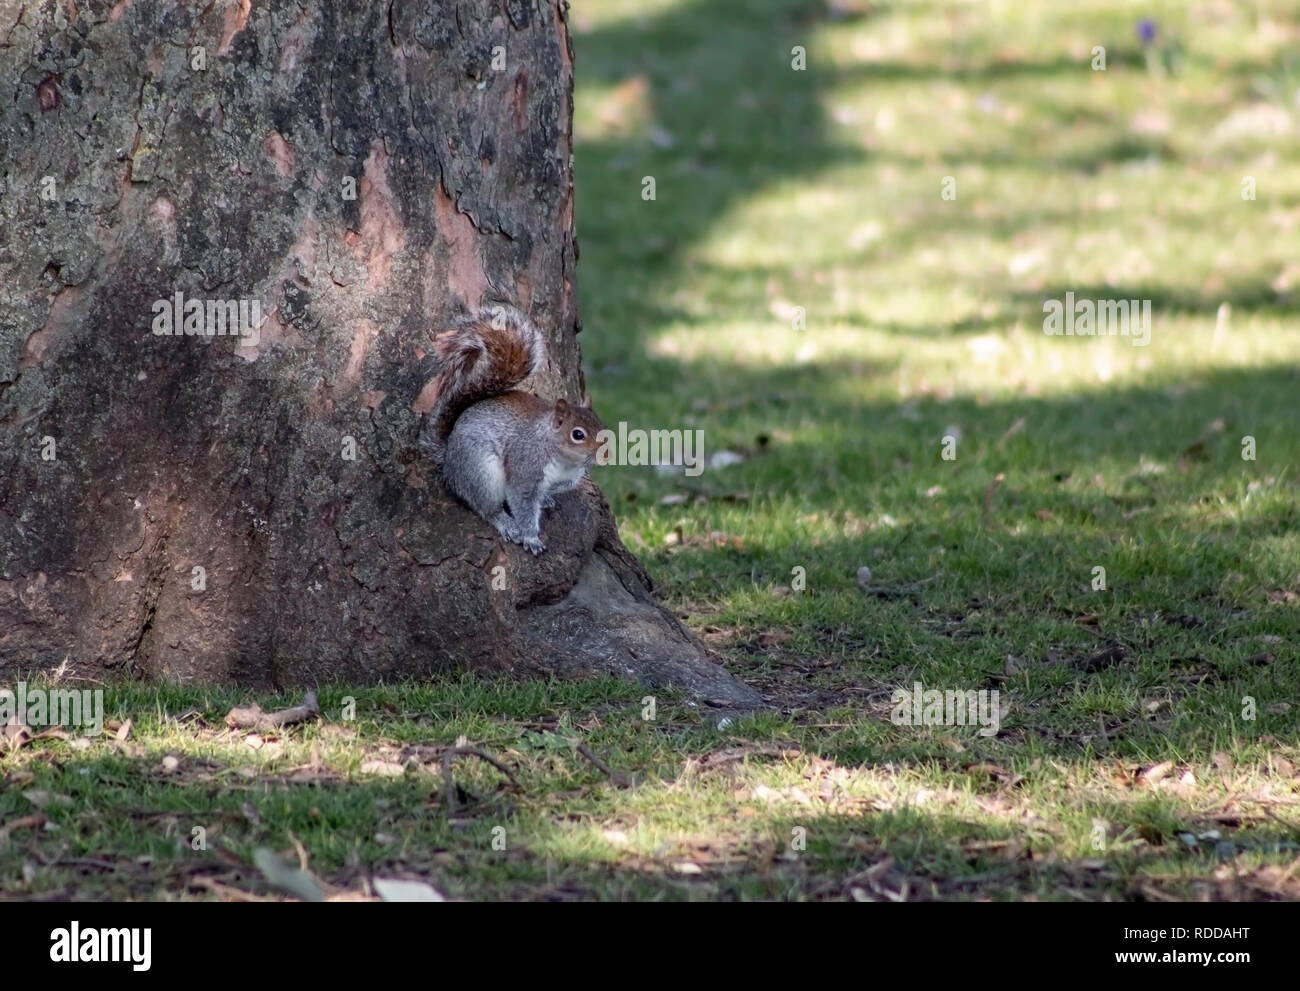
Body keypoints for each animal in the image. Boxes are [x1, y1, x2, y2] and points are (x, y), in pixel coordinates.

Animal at [416, 306, 603, 556]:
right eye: (578, 434)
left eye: (601, 425)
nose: (605, 455)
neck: (564, 461)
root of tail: (448, 458)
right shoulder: (525, 469)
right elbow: (522, 505)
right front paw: (531, 538)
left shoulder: (567, 479)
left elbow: (545, 493)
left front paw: (545, 499)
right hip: (481, 473)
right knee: (485, 506)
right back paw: (505, 522)